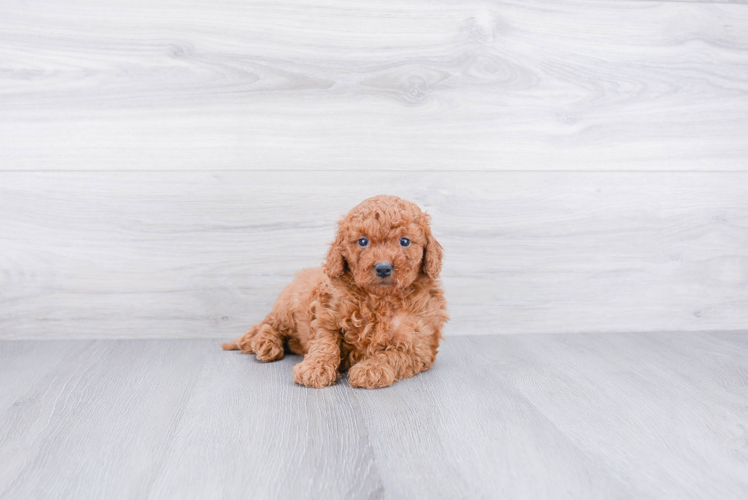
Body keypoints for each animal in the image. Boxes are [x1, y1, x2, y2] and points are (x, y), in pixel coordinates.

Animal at [219, 193, 448, 388]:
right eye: (363, 241)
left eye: (405, 241)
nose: (383, 268)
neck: (379, 299)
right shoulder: (326, 315)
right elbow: (324, 344)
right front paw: (314, 368)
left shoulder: (419, 346)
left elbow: (393, 355)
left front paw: (371, 369)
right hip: (286, 309)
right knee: (269, 324)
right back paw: (265, 343)